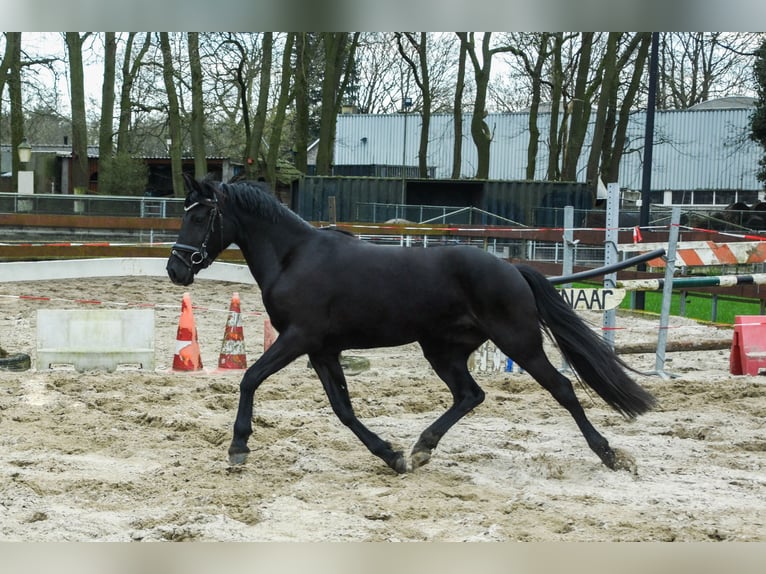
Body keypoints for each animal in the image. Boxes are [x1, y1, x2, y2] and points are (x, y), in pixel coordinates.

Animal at [166, 177, 656, 474]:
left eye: (200, 215)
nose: (176, 269)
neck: (294, 257)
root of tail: (513, 269)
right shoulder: (322, 349)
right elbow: (343, 409)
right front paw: (391, 454)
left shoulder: (299, 338)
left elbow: (249, 378)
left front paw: (238, 448)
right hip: (442, 349)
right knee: (470, 395)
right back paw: (421, 448)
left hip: (519, 342)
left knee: (563, 388)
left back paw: (609, 454)